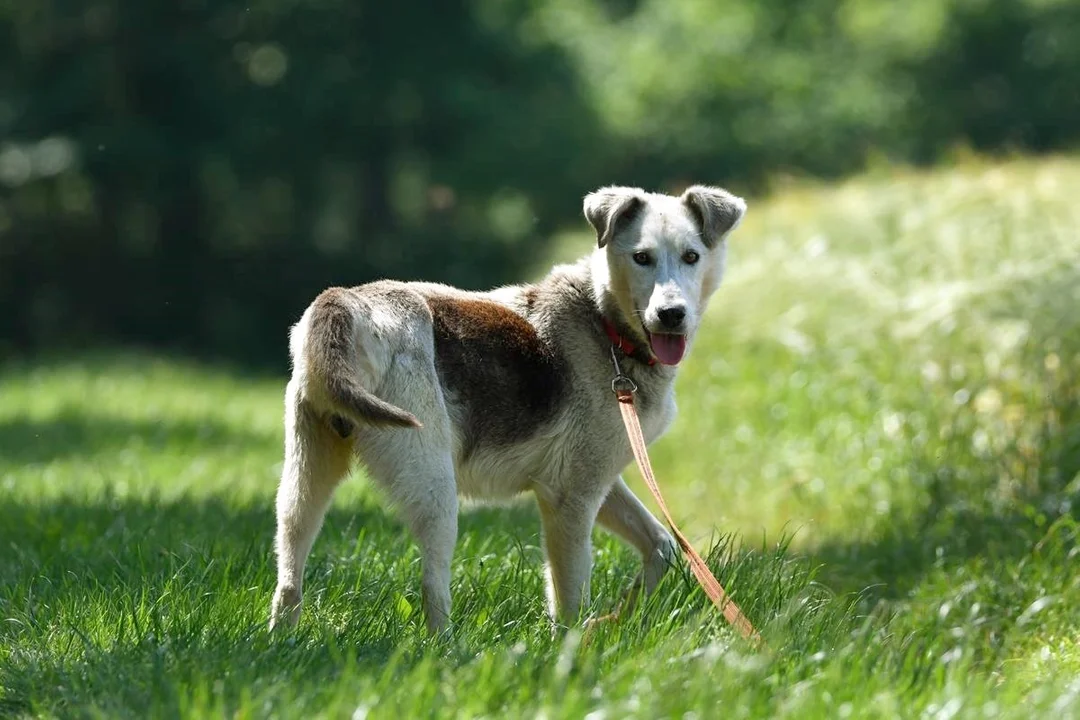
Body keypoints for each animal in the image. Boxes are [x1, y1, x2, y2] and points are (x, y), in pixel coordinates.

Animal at [266, 184, 747, 630]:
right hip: (435, 488)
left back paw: (284, 640)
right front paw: (573, 647)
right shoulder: (571, 499)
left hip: (304, 481)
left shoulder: (595, 479)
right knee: (431, 586)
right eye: (642, 258)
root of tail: (348, 302)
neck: (607, 324)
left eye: (691, 256)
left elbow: (662, 546)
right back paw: (447, 649)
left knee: (289, 573)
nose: (672, 314)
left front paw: (616, 618)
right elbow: (570, 595)